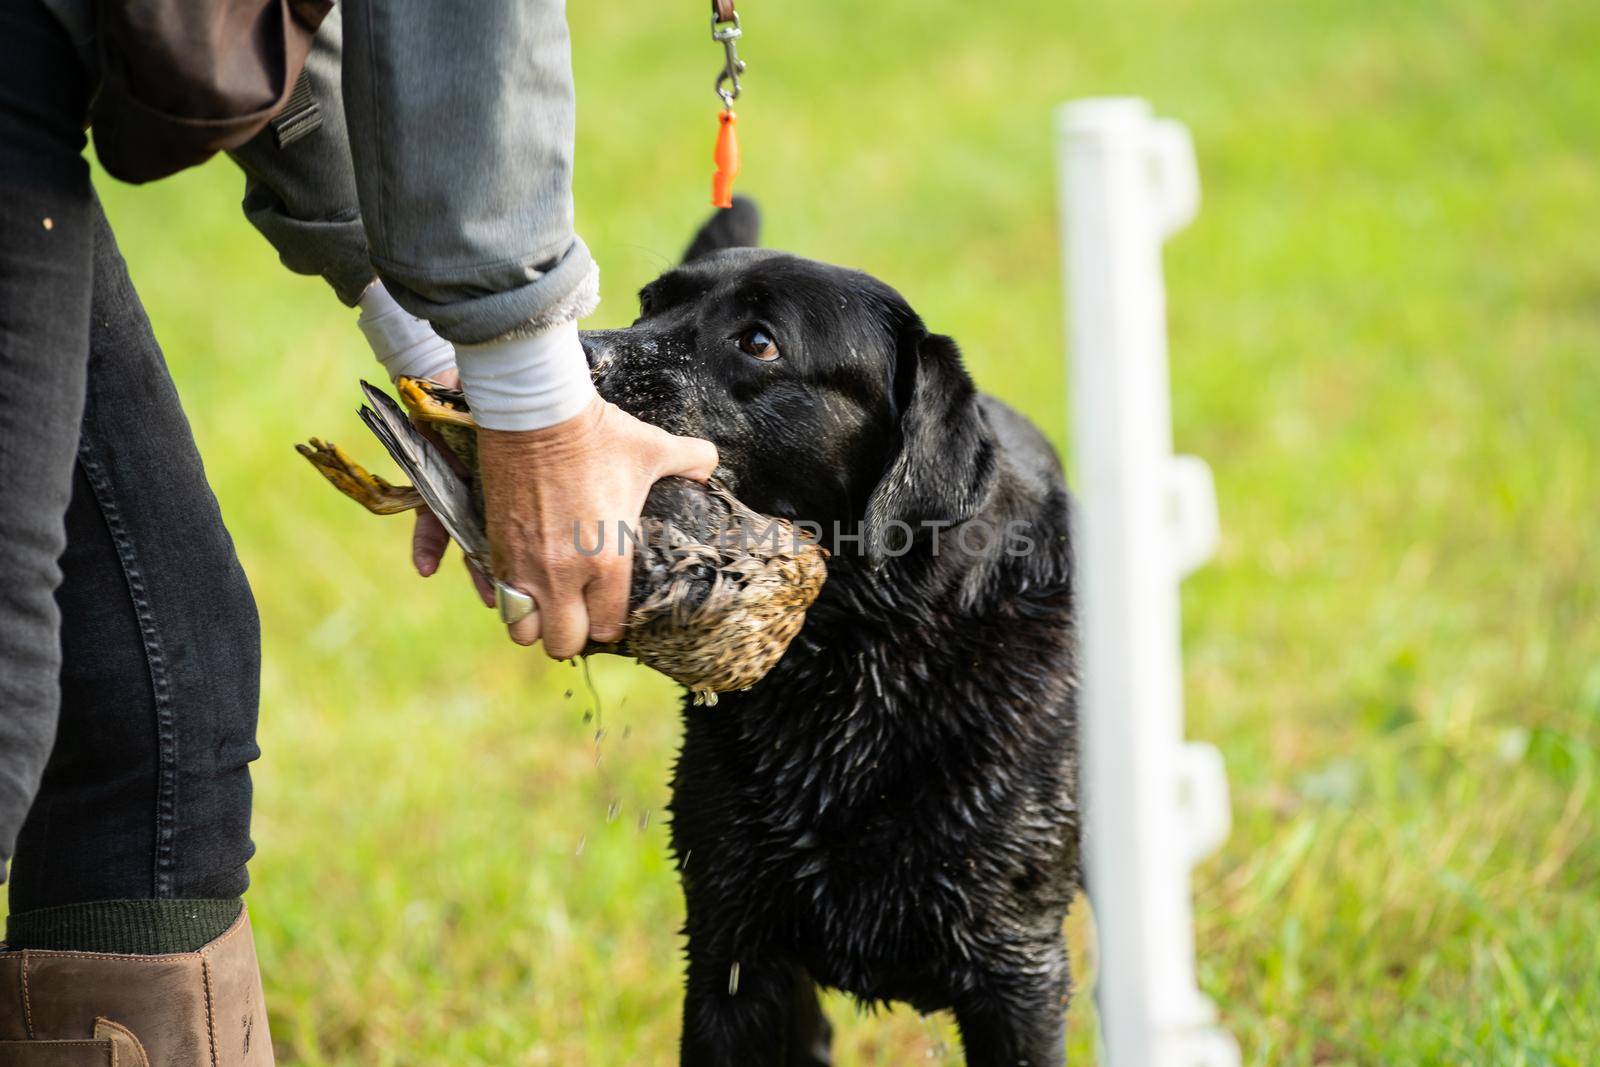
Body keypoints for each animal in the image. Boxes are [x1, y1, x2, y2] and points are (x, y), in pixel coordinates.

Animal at [582, 202, 1081, 1067]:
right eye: (649, 302)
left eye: (758, 341)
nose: (575, 354)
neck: (855, 665)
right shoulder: (730, 949)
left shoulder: (1017, 972)